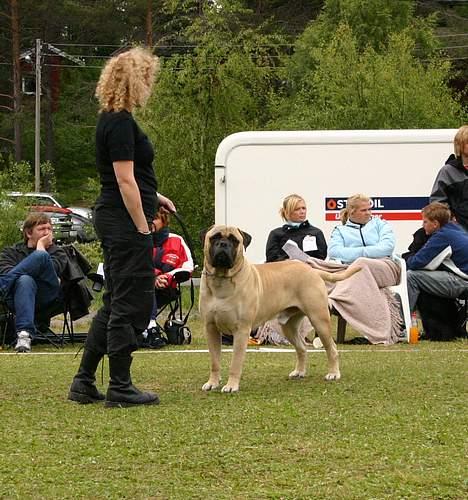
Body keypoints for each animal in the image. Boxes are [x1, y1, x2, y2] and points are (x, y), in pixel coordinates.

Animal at [199, 225, 360, 392]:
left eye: (234, 240)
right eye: (215, 237)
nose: (223, 244)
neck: (221, 281)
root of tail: (312, 270)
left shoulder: (241, 330)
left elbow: (235, 363)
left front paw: (231, 386)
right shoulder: (211, 328)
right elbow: (215, 362)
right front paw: (212, 383)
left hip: (319, 320)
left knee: (331, 348)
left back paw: (333, 373)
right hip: (289, 327)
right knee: (302, 348)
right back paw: (299, 372)